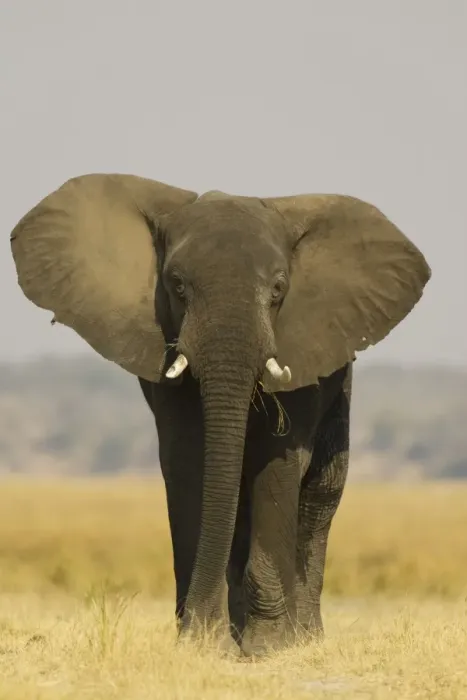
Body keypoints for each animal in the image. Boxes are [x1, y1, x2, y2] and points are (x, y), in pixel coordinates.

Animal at [10, 174, 430, 657]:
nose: (202, 628)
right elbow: (190, 460)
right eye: (176, 285)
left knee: (320, 495)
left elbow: (278, 462)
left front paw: (268, 647)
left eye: (279, 289)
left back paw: (304, 638)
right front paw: (204, 644)